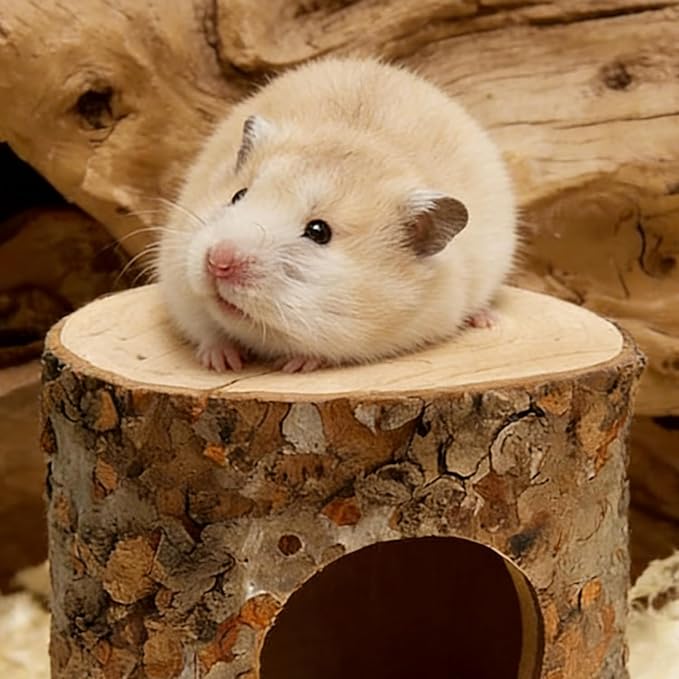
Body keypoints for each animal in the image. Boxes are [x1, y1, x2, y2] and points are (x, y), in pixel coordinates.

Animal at [156, 56, 517, 373]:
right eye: (237, 195)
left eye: (319, 232)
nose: (218, 261)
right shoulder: (178, 281)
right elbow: (207, 329)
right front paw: (221, 363)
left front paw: (297, 365)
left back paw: (486, 319)